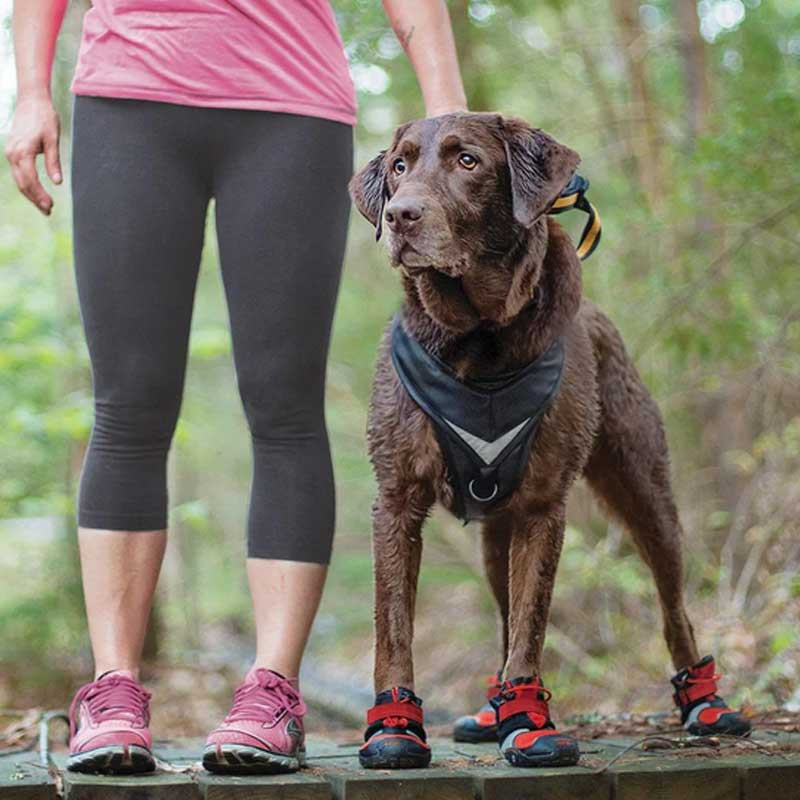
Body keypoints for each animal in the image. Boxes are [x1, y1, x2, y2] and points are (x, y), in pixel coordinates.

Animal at [350, 112, 752, 768]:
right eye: (399, 166)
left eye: (467, 161)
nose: (400, 214)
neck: (477, 340)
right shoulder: (397, 498)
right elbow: (395, 625)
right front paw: (395, 727)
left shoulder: (543, 504)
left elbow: (533, 620)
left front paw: (528, 721)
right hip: (495, 533)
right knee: (502, 608)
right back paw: (492, 708)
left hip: (645, 491)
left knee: (673, 606)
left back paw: (705, 703)